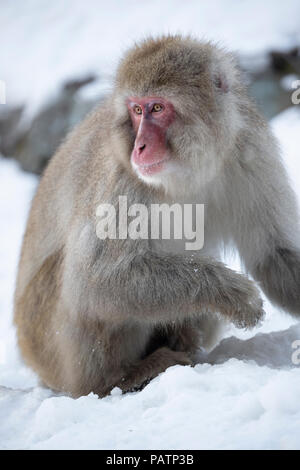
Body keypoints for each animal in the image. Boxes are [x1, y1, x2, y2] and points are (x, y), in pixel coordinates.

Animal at [13, 35, 300, 396]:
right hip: (50, 347)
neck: (190, 169)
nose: (139, 147)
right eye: (137, 111)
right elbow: (93, 282)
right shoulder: (121, 178)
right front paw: (233, 293)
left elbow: (274, 255)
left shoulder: (251, 150)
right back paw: (122, 377)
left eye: (157, 108)